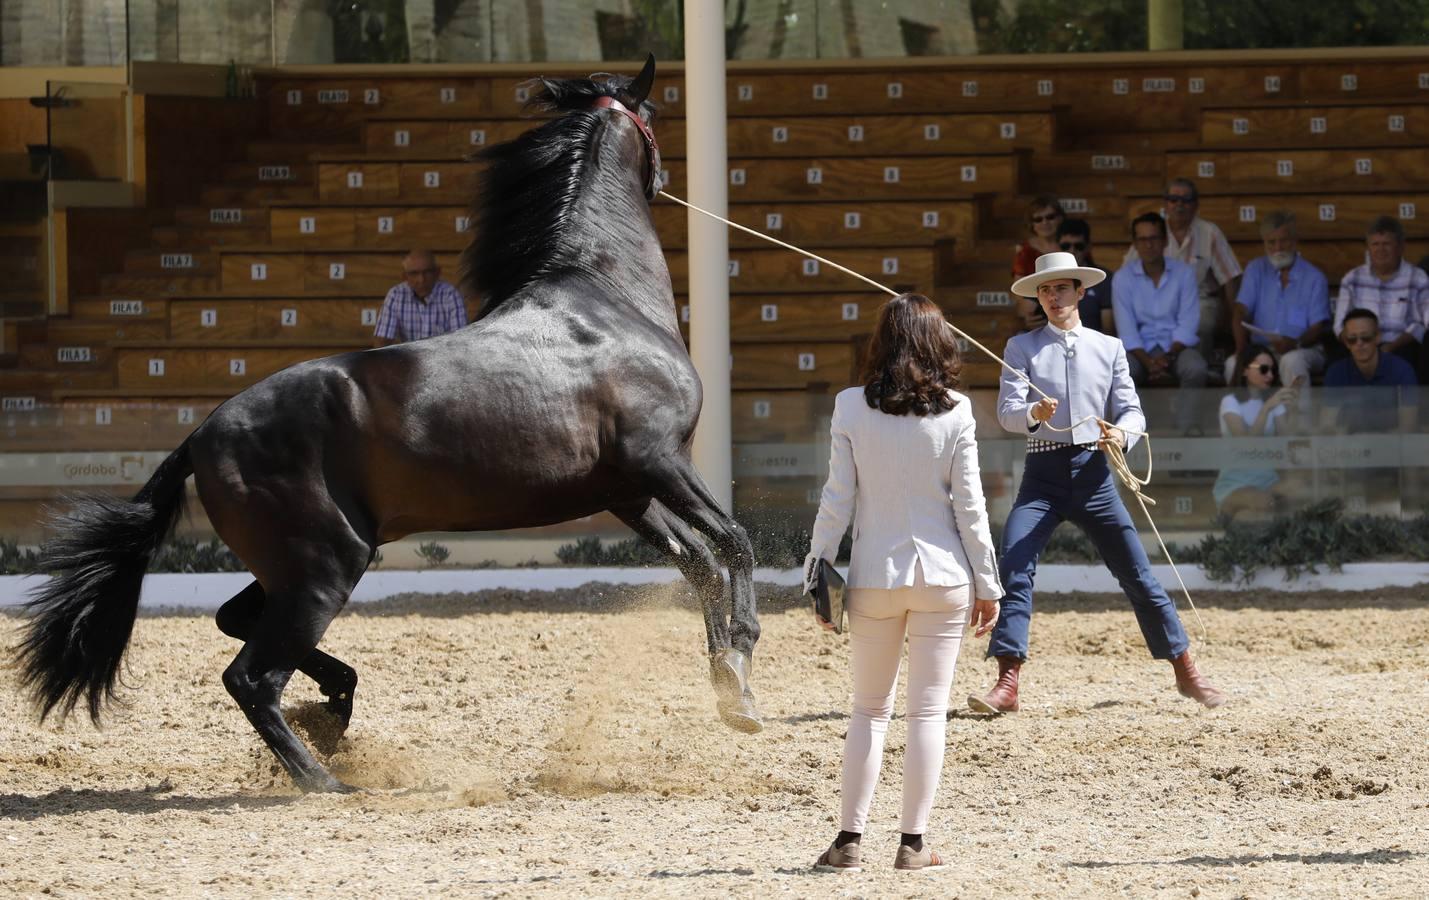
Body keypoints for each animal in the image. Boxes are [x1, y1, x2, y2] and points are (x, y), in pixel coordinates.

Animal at [13, 56, 771, 794]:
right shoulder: (660, 461)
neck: (606, 300)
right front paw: (742, 662)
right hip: (326, 564)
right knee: (251, 675)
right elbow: (733, 543)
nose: (665, 178)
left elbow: (701, 564)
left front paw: (730, 689)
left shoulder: (626, 492)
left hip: (297, 563)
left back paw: (334, 710)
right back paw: (325, 778)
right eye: (655, 116)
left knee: (237, 624)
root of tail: (201, 436)